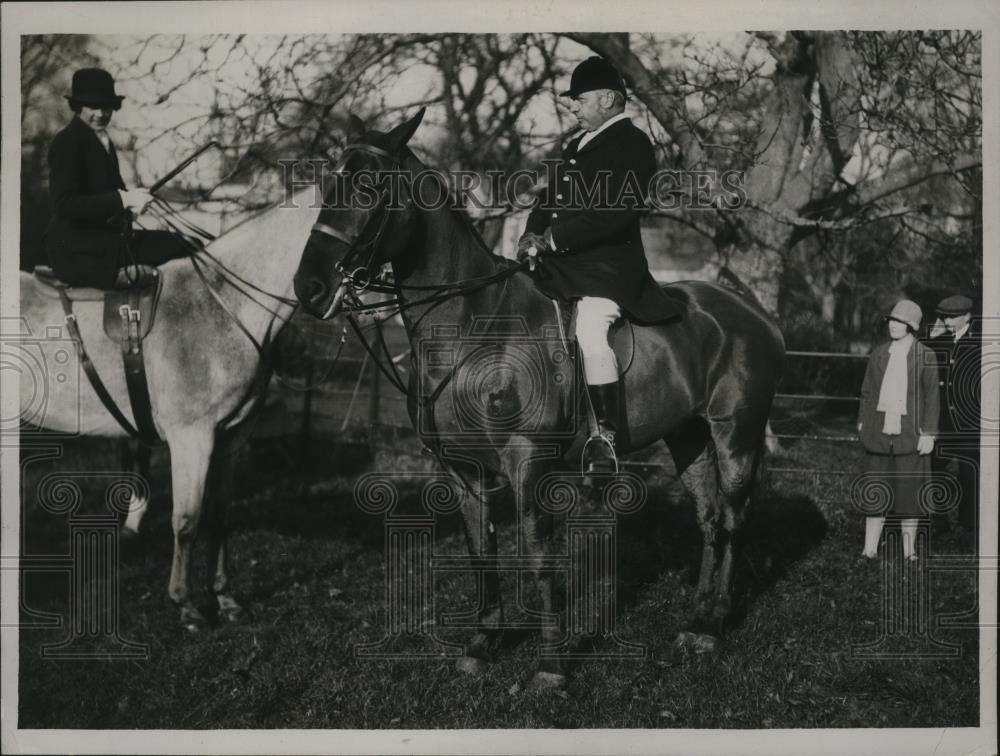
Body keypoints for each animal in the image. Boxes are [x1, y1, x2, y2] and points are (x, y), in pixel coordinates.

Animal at [18, 188, 319, 629]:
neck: (223, 305)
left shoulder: (232, 437)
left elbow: (219, 515)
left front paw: (225, 598)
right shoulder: (191, 437)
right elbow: (187, 521)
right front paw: (186, 604)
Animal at [293, 109, 785, 688]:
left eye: (369, 186)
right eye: (329, 183)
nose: (309, 288)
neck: (472, 327)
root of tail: (748, 309)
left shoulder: (529, 462)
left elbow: (537, 557)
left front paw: (551, 666)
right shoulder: (463, 468)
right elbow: (481, 551)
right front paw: (483, 644)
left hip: (736, 432)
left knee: (732, 518)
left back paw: (712, 624)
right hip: (686, 435)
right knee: (708, 518)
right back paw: (695, 617)